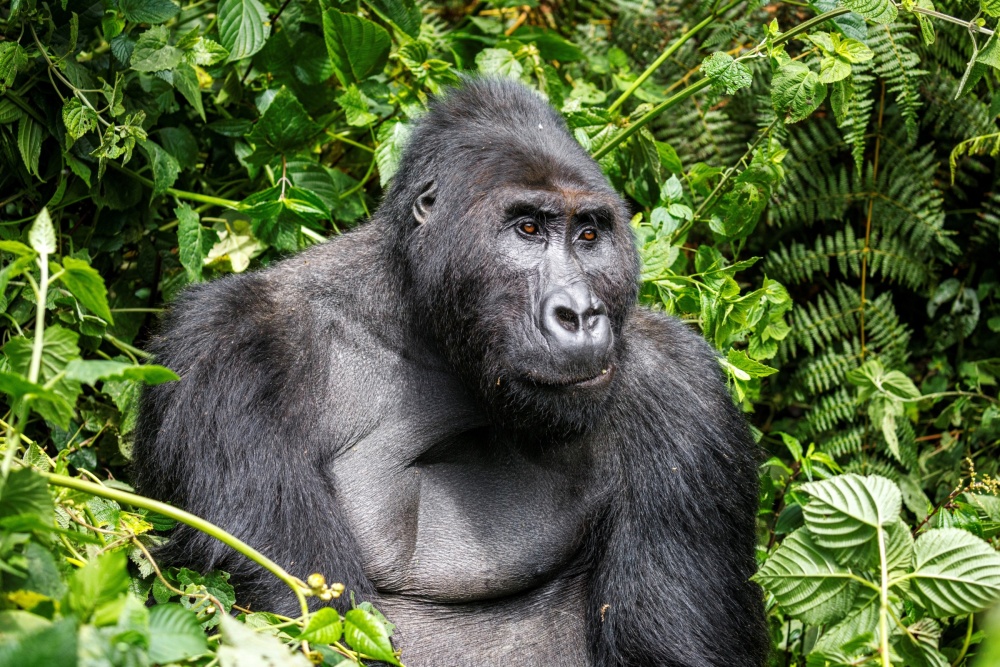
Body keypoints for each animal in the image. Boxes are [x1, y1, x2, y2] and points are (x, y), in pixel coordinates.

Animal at [135, 79, 764, 667]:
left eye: (589, 235)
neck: (422, 327)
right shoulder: (226, 352)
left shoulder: (681, 389)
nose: (581, 314)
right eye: (527, 229)